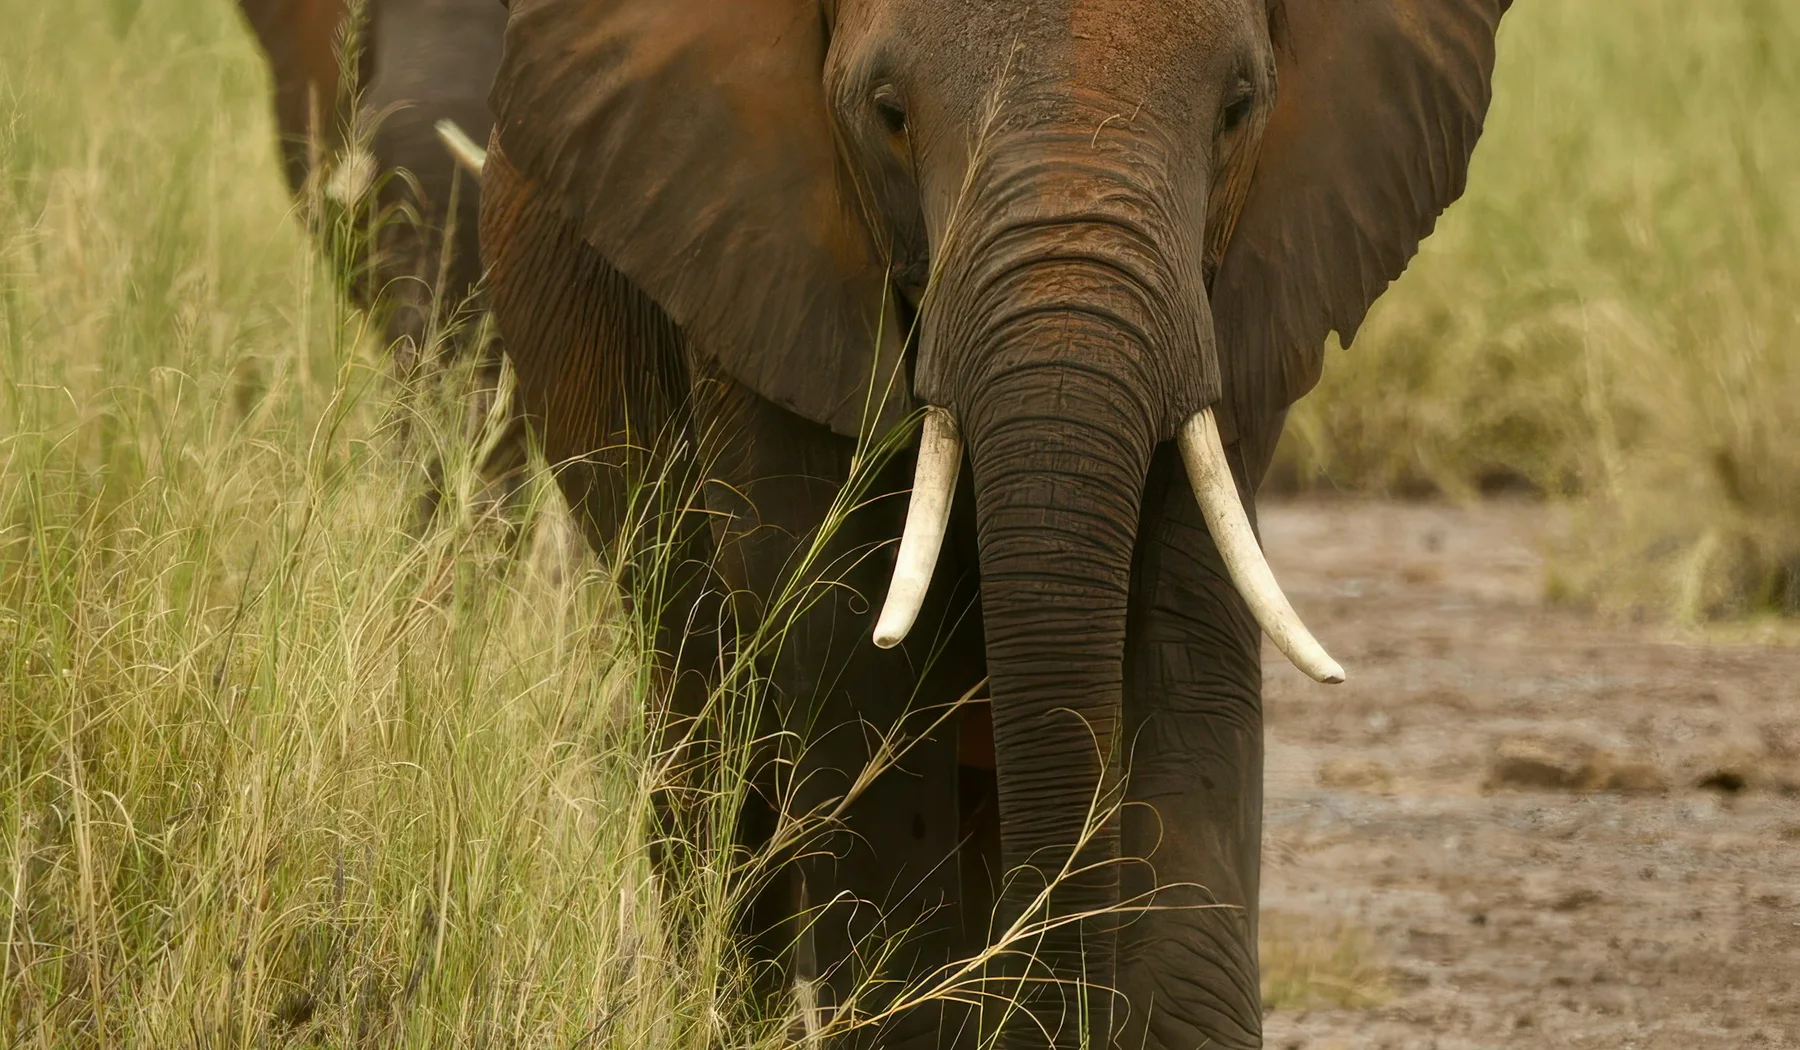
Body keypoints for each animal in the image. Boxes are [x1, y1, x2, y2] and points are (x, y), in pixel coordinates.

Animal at [479, 1, 1511, 1048]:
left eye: (1238, 110)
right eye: (888, 116)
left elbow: (1189, 654)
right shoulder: (758, 273)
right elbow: (853, 659)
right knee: (714, 747)